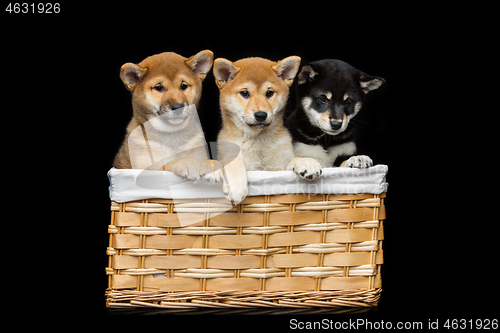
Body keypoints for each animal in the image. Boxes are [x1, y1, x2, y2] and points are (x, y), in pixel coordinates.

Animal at [114, 50, 224, 183]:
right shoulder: (143, 169)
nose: (178, 107)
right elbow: (169, 163)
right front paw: (186, 162)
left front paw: (213, 165)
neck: (173, 135)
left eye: (183, 86)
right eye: (159, 87)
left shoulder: (199, 153)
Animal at [213, 55, 322, 204]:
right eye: (245, 93)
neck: (258, 141)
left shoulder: (279, 166)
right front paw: (235, 187)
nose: (261, 115)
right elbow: (235, 161)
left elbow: (293, 159)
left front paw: (306, 161)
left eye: (269, 93)